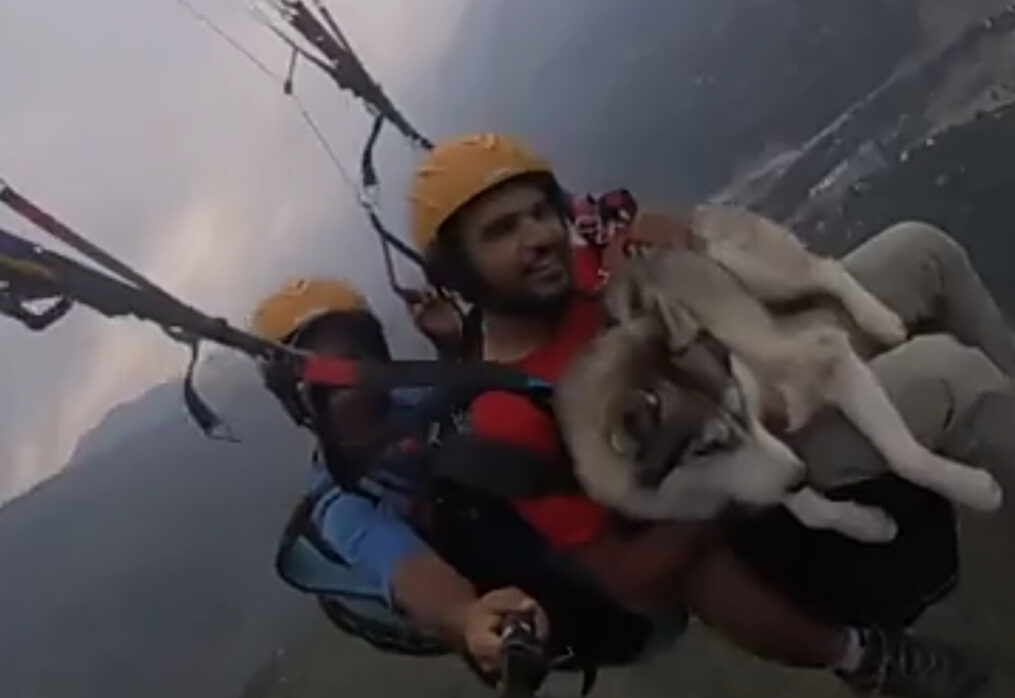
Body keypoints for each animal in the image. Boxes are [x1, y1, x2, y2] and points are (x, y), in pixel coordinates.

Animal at [560, 204, 1002, 543]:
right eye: (705, 449)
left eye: (737, 406)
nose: (803, 474)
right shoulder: (751, 472)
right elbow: (803, 508)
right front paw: (863, 524)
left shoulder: (823, 356)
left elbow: (904, 456)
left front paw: (974, 490)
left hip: (750, 265)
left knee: (823, 270)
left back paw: (878, 318)